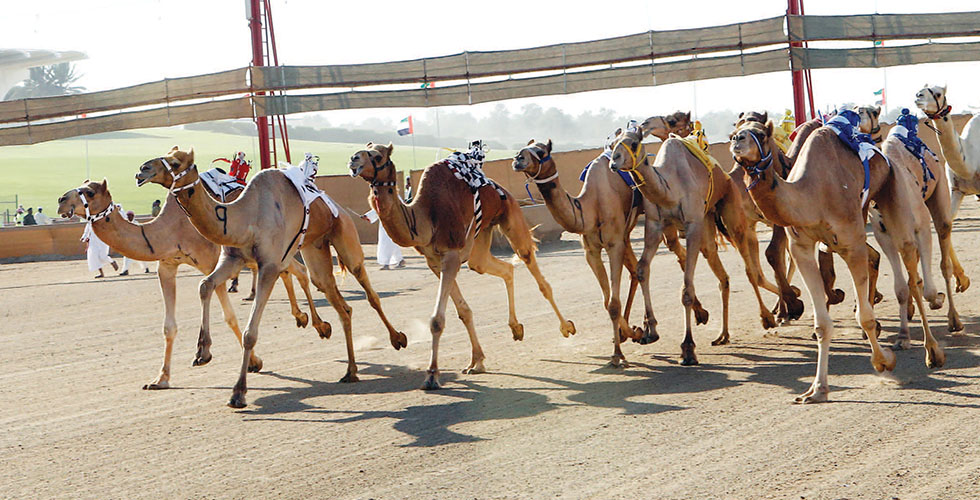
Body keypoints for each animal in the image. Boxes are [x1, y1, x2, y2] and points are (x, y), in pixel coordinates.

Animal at [135, 146, 406, 408]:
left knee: (369, 292)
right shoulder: (233, 258)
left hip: (346, 238)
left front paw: (238, 392)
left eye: (176, 162)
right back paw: (349, 369)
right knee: (339, 302)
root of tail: (339, 208)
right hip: (315, 250)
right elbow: (205, 285)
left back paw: (397, 338)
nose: (142, 169)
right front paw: (203, 353)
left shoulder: (270, 266)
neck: (245, 216)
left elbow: (250, 333)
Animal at [348, 143, 576, 388]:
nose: (353, 159)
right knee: (502, 268)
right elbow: (464, 311)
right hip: (480, 239)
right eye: (365, 148)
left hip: (511, 216)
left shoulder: (451, 255)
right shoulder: (435, 261)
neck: (425, 217)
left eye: (377, 155)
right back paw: (516, 328)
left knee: (534, 270)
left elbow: (437, 320)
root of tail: (502, 190)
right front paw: (477, 361)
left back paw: (566, 327)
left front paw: (432, 375)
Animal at [604, 121, 780, 364]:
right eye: (612, 144)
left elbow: (687, 288)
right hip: (707, 222)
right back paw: (723, 335)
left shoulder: (692, 225)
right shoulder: (655, 224)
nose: (614, 162)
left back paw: (768, 317)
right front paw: (650, 330)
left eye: (633, 143)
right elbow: (641, 270)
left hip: (731, 209)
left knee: (750, 268)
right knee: (722, 274)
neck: (668, 189)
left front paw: (688, 348)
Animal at [732, 120, 944, 402]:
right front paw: (816, 390)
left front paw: (884, 361)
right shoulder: (801, 248)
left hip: (894, 192)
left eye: (761, 133)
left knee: (912, 268)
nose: (738, 140)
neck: (811, 194)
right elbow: (822, 323)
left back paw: (932, 351)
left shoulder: (852, 245)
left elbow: (864, 317)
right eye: (735, 132)